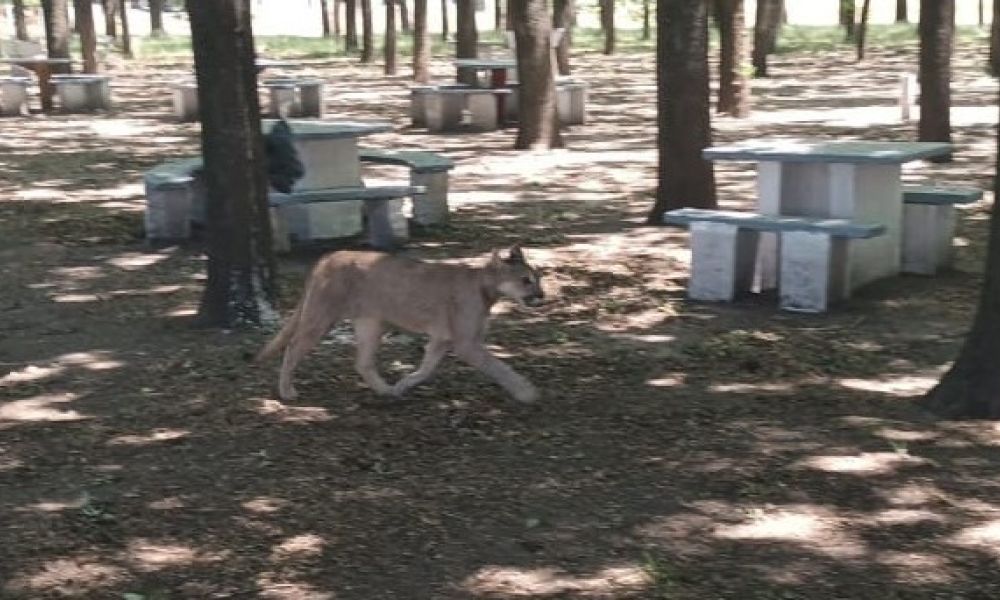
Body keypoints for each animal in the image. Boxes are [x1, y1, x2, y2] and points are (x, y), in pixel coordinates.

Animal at [254, 244, 544, 404]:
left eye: (538, 278)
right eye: (525, 280)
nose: (543, 295)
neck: (485, 286)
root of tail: (328, 256)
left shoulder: (442, 340)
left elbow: (426, 369)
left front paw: (404, 384)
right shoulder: (466, 343)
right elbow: (500, 367)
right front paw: (526, 392)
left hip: (371, 323)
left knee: (363, 362)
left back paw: (385, 390)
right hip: (321, 317)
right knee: (293, 347)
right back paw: (287, 391)